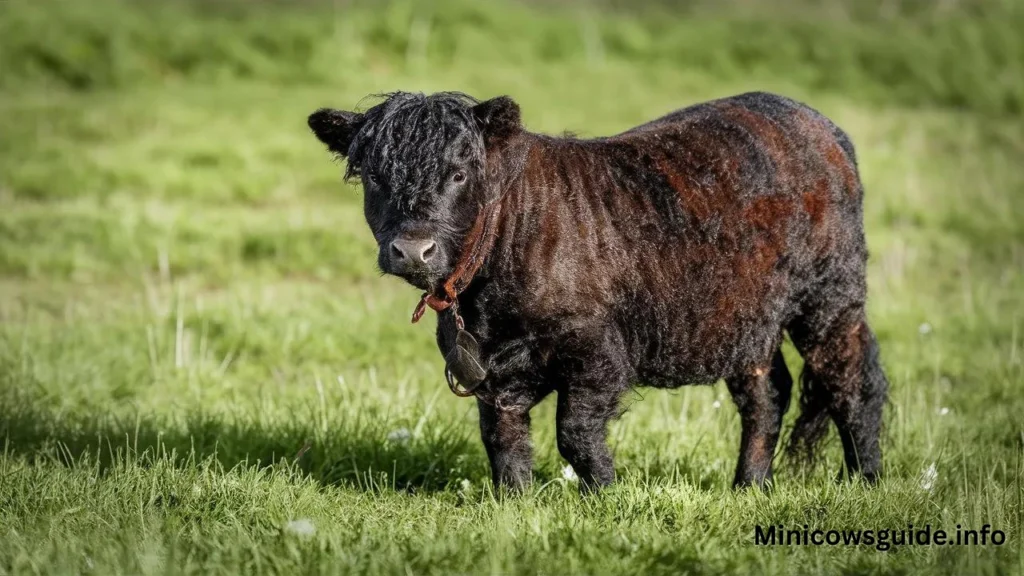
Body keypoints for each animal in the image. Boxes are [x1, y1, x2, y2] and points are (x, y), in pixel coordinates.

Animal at [303, 89, 888, 487]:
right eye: (373, 177)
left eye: (459, 175)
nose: (412, 248)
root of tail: (813, 120)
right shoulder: (490, 370)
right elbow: (503, 440)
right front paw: (514, 503)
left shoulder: (598, 353)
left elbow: (576, 434)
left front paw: (608, 496)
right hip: (746, 320)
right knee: (767, 394)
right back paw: (748, 486)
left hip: (830, 297)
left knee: (853, 381)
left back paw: (865, 483)